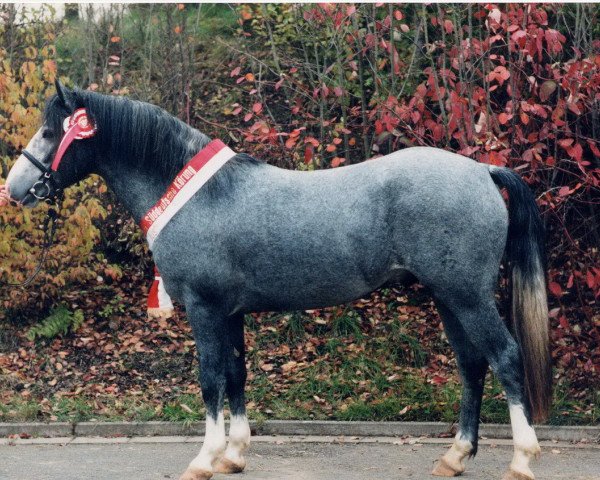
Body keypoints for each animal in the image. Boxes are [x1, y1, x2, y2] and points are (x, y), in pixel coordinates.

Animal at [3, 83, 548, 480]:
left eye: (51, 132)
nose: (15, 189)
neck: (198, 194)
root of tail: (482, 170)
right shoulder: (230, 313)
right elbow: (237, 375)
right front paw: (233, 455)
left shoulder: (204, 309)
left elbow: (210, 378)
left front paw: (204, 459)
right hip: (447, 297)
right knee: (472, 366)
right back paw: (454, 457)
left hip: (467, 296)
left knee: (505, 357)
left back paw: (522, 459)